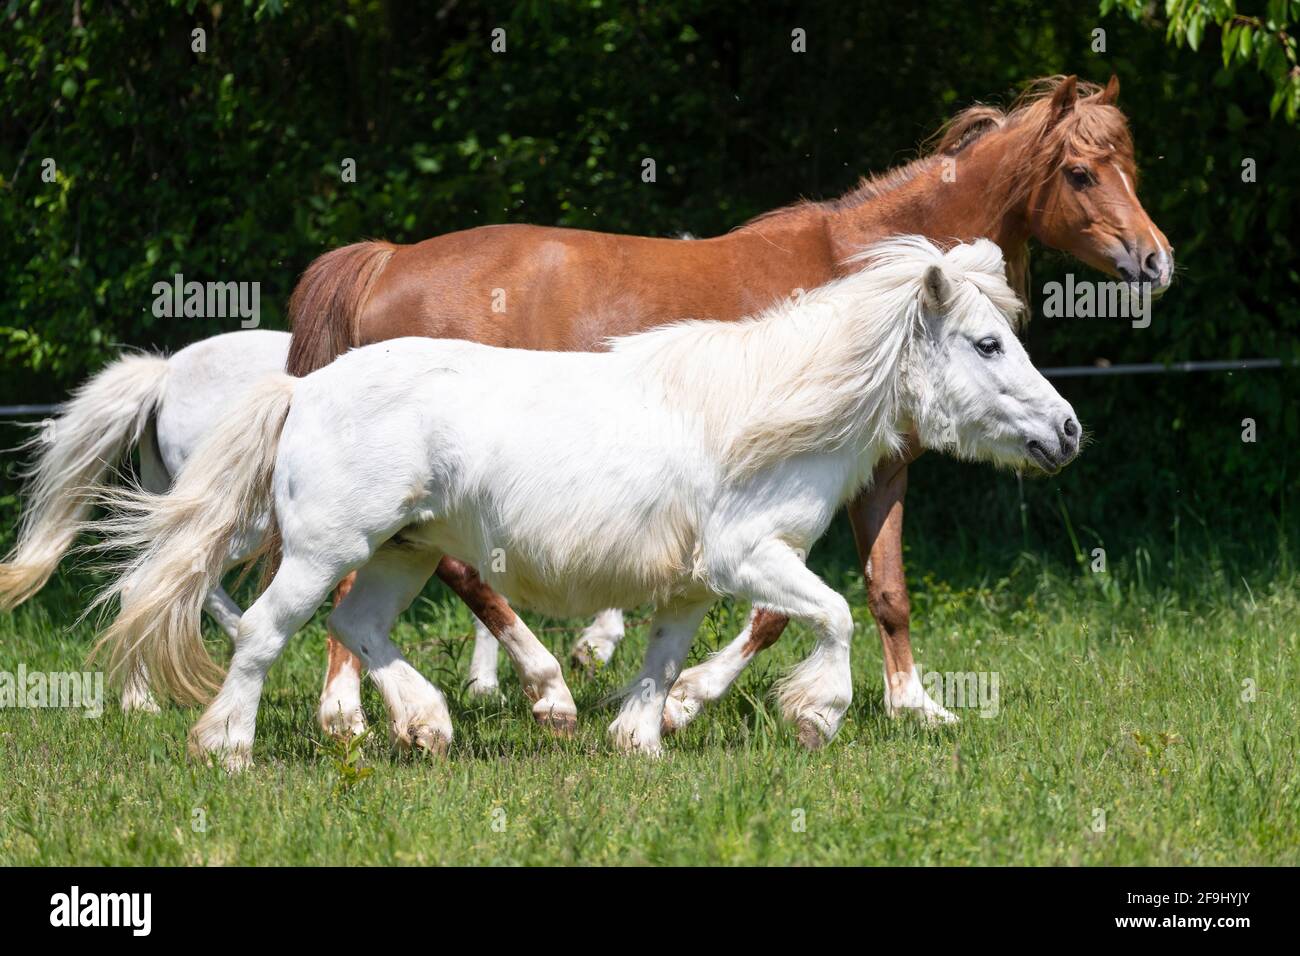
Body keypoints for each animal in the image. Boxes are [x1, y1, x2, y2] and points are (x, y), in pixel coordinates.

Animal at [89, 237, 1080, 768]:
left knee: (357, 627)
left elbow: (666, 658)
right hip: (326, 549)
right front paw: (816, 715)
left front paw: (641, 737)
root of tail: (303, 387)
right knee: (265, 632)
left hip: (403, 551)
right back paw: (229, 747)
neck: (770, 411)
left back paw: (429, 724)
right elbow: (832, 615)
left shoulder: (693, 583)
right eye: (988, 344)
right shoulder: (749, 558)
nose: (1068, 431)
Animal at [283, 75, 1170, 735]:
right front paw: (687, 699)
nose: (1156, 260)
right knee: (452, 571)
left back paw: (354, 711)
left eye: (1130, 165)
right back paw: (533, 690)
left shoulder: (878, 473)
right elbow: (779, 611)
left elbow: (887, 589)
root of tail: (388, 260)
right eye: (1081, 172)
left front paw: (917, 706)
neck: (865, 279)